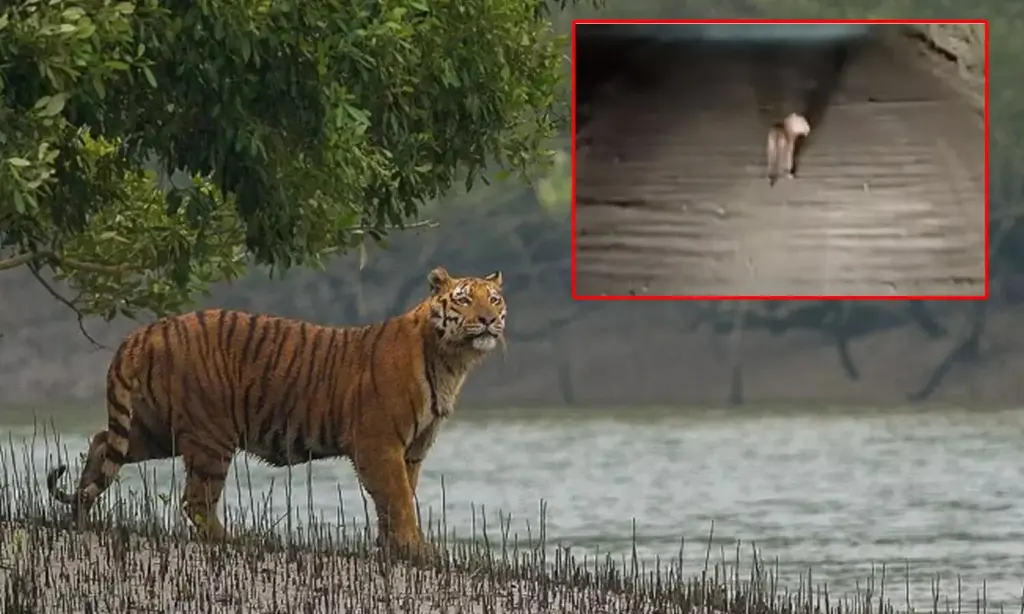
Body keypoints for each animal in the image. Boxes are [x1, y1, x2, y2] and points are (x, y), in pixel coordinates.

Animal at [46, 266, 506, 561]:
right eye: (465, 299)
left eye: (494, 299)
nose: (487, 320)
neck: (451, 361)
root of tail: (144, 332)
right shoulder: (379, 444)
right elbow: (397, 499)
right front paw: (417, 550)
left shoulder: (411, 450)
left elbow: (398, 499)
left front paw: (393, 548)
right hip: (211, 435)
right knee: (195, 500)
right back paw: (236, 540)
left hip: (154, 429)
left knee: (101, 444)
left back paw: (79, 515)